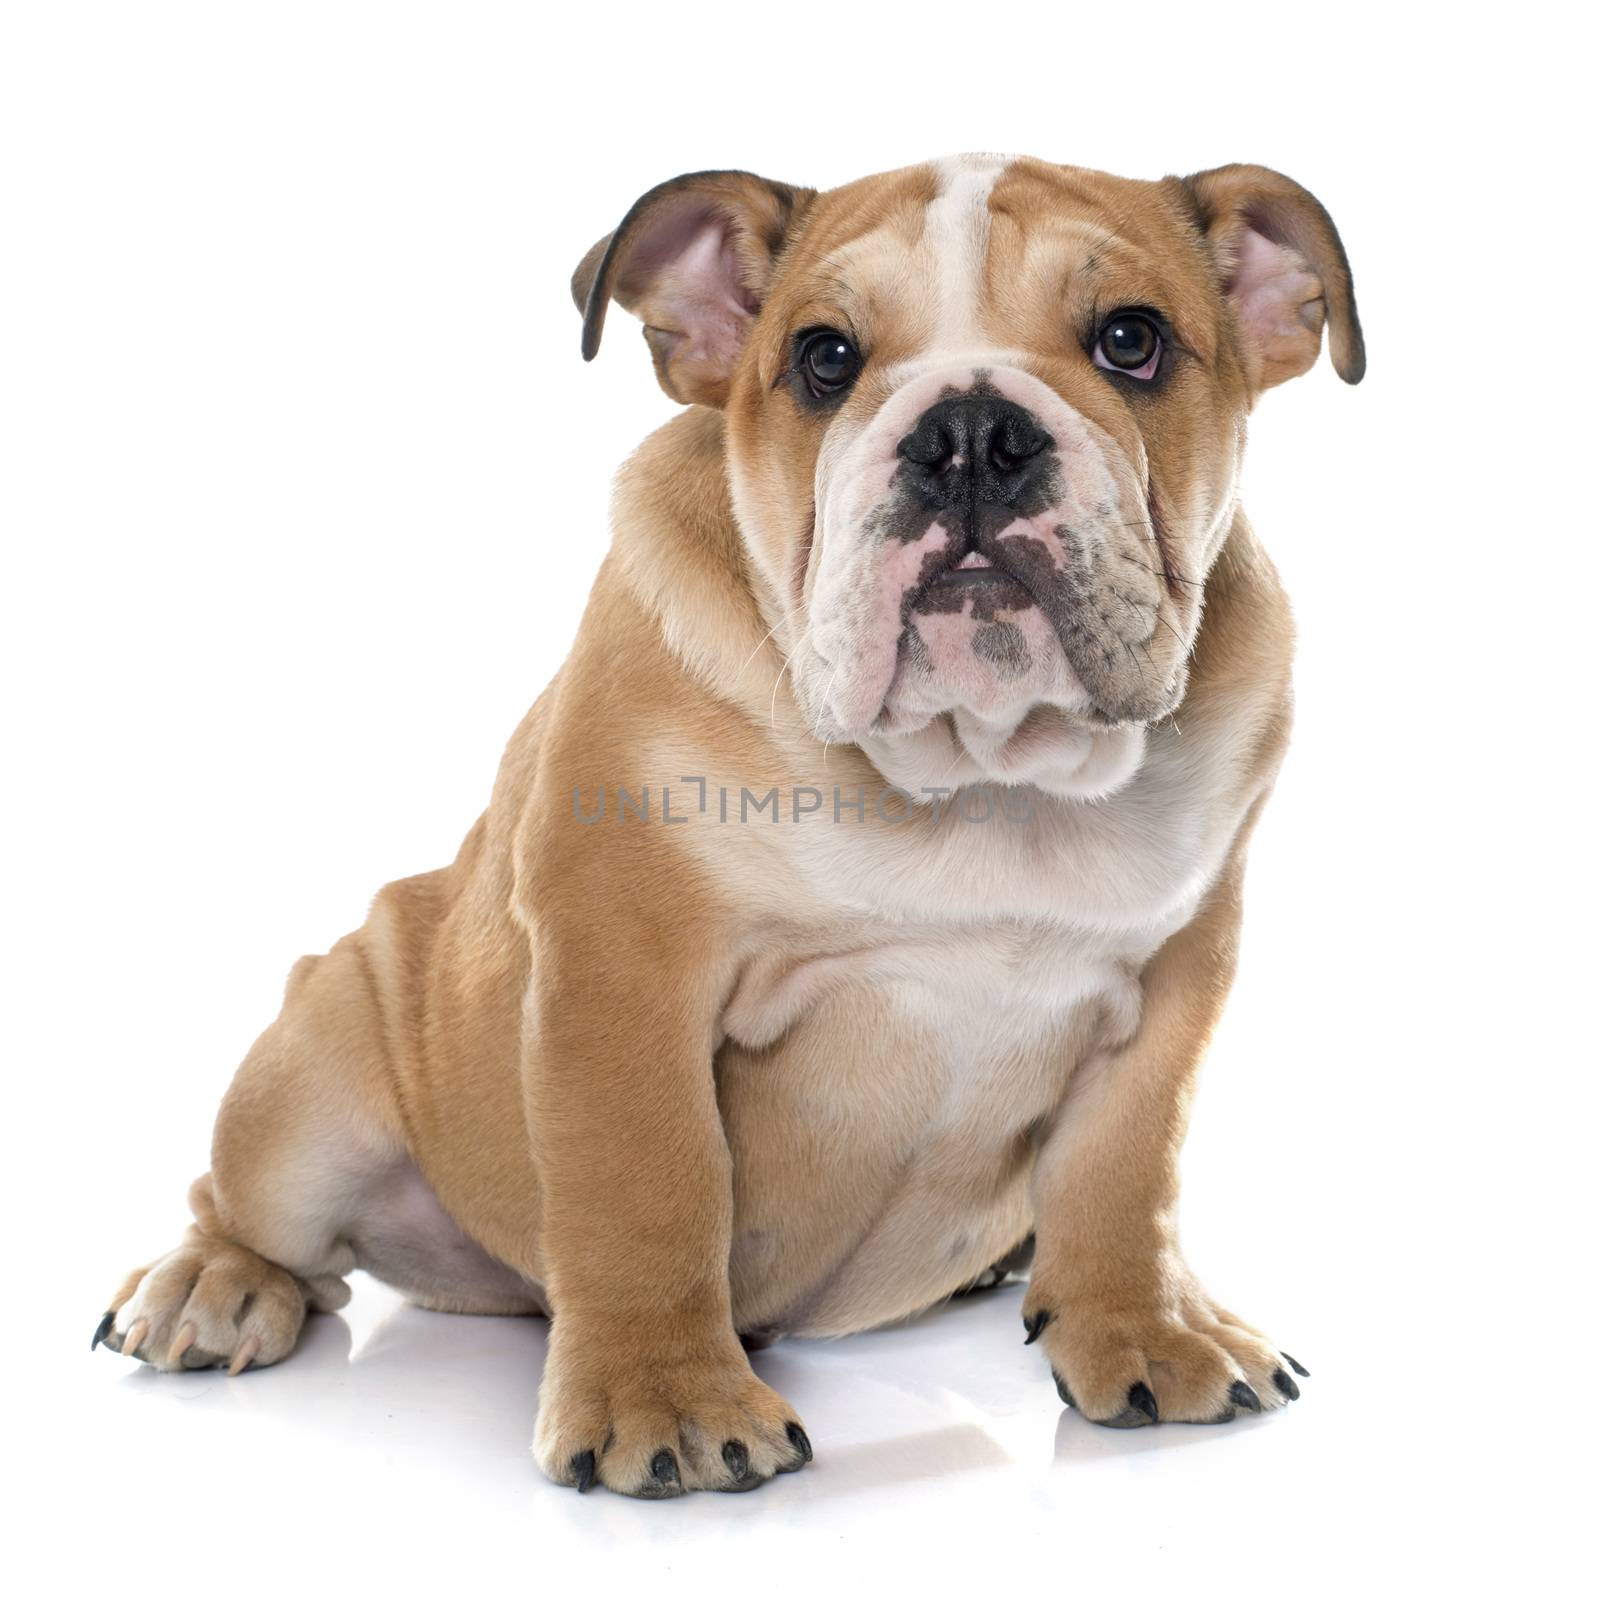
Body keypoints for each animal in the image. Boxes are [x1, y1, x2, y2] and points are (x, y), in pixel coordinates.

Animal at [93, 156, 1363, 1491]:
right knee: (258, 1211)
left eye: (1131, 340)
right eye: (822, 357)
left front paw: (1145, 1327)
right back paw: (210, 1283)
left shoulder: (1177, 976)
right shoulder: (622, 973)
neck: (978, 767)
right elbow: (650, 1187)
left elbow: (1127, 1164)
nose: (970, 432)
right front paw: (666, 1400)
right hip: (318, 1069)